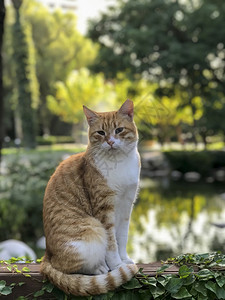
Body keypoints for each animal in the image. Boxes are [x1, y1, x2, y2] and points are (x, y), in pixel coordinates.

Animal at [39, 99, 140, 296]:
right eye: (100, 132)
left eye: (119, 130)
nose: (110, 142)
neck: (119, 163)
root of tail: (47, 254)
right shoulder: (104, 210)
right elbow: (112, 243)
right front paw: (117, 265)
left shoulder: (126, 206)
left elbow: (122, 238)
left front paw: (124, 259)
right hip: (92, 231)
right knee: (68, 268)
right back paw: (99, 268)